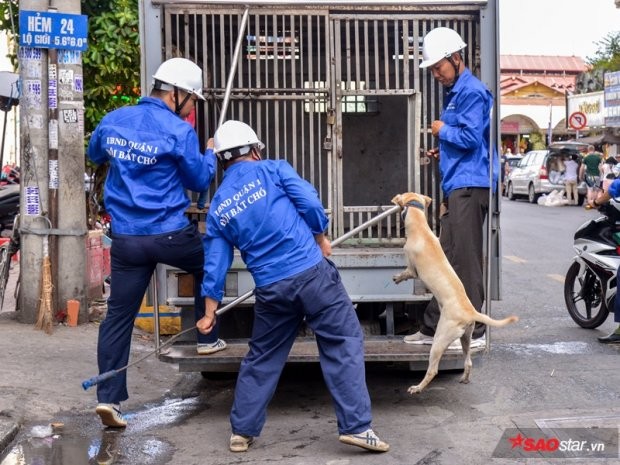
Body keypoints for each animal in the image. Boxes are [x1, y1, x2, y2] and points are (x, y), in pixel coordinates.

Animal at [392, 191, 520, 392]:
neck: (421, 228)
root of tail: (471, 311)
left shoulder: (412, 269)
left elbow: (406, 273)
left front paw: (397, 278)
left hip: (441, 338)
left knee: (433, 370)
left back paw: (418, 387)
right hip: (466, 337)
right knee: (468, 362)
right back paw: (465, 378)